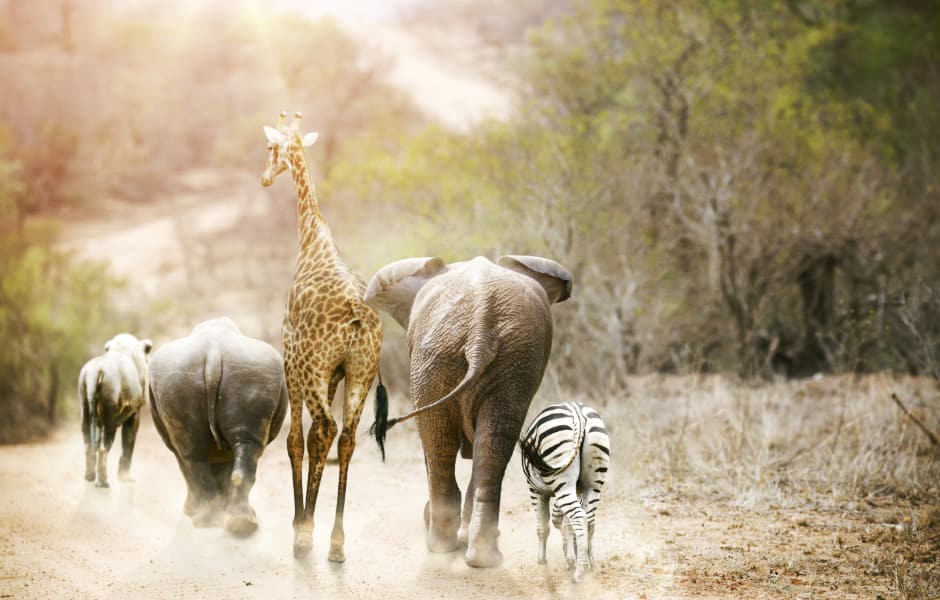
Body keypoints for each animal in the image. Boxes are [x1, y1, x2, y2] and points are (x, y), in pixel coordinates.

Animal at [78, 330, 152, 490]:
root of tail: (95, 372)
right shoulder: (134, 413)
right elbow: (128, 446)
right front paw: (125, 477)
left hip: (86, 410)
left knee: (88, 445)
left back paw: (89, 477)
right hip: (110, 418)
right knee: (103, 449)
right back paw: (103, 483)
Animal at [147, 318, 284, 536]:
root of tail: (213, 353)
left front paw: (197, 510)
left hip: (192, 375)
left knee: (193, 453)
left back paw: (211, 522)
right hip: (249, 372)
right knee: (231, 447)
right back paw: (238, 524)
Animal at [260, 109, 386, 564]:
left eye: (270, 147)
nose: (264, 178)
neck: (311, 236)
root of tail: (356, 318)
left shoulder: (291, 357)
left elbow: (297, 439)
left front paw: (300, 524)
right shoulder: (334, 373)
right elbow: (316, 440)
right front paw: (308, 523)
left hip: (316, 369)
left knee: (327, 430)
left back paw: (308, 536)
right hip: (361, 372)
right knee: (345, 438)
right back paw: (336, 541)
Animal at [366, 253, 572, 568]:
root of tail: (480, 325)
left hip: (446, 358)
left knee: (445, 444)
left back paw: (445, 546)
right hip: (487, 360)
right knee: (486, 444)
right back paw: (478, 556)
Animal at [516, 404, 608, 580]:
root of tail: (578, 413)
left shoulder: (535, 489)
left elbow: (543, 526)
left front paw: (542, 561)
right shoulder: (575, 491)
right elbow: (563, 522)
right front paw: (572, 554)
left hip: (561, 477)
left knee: (579, 517)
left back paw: (579, 573)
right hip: (593, 482)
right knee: (589, 520)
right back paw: (588, 563)